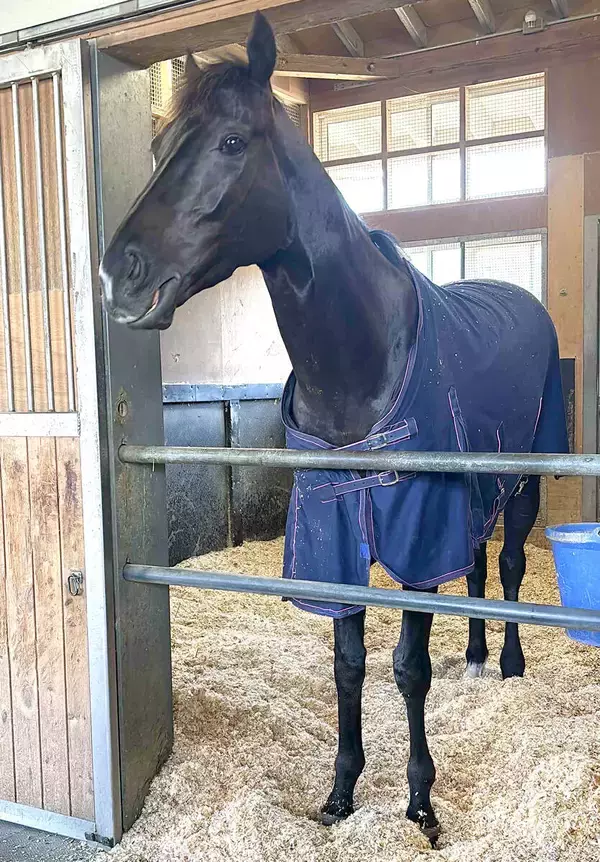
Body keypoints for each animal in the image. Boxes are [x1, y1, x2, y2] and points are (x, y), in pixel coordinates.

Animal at [99, 12, 569, 844]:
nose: (118, 273)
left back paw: (509, 662)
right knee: (479, 567)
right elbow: (347, 666)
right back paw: (478, 653)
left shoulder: (417, 533)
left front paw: (420, 804)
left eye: (232, 141)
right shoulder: (330, 535)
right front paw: (341, 792)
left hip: (525, 479)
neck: (360, 362)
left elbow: (408, 667)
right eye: (157, 148)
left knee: (510, 563)